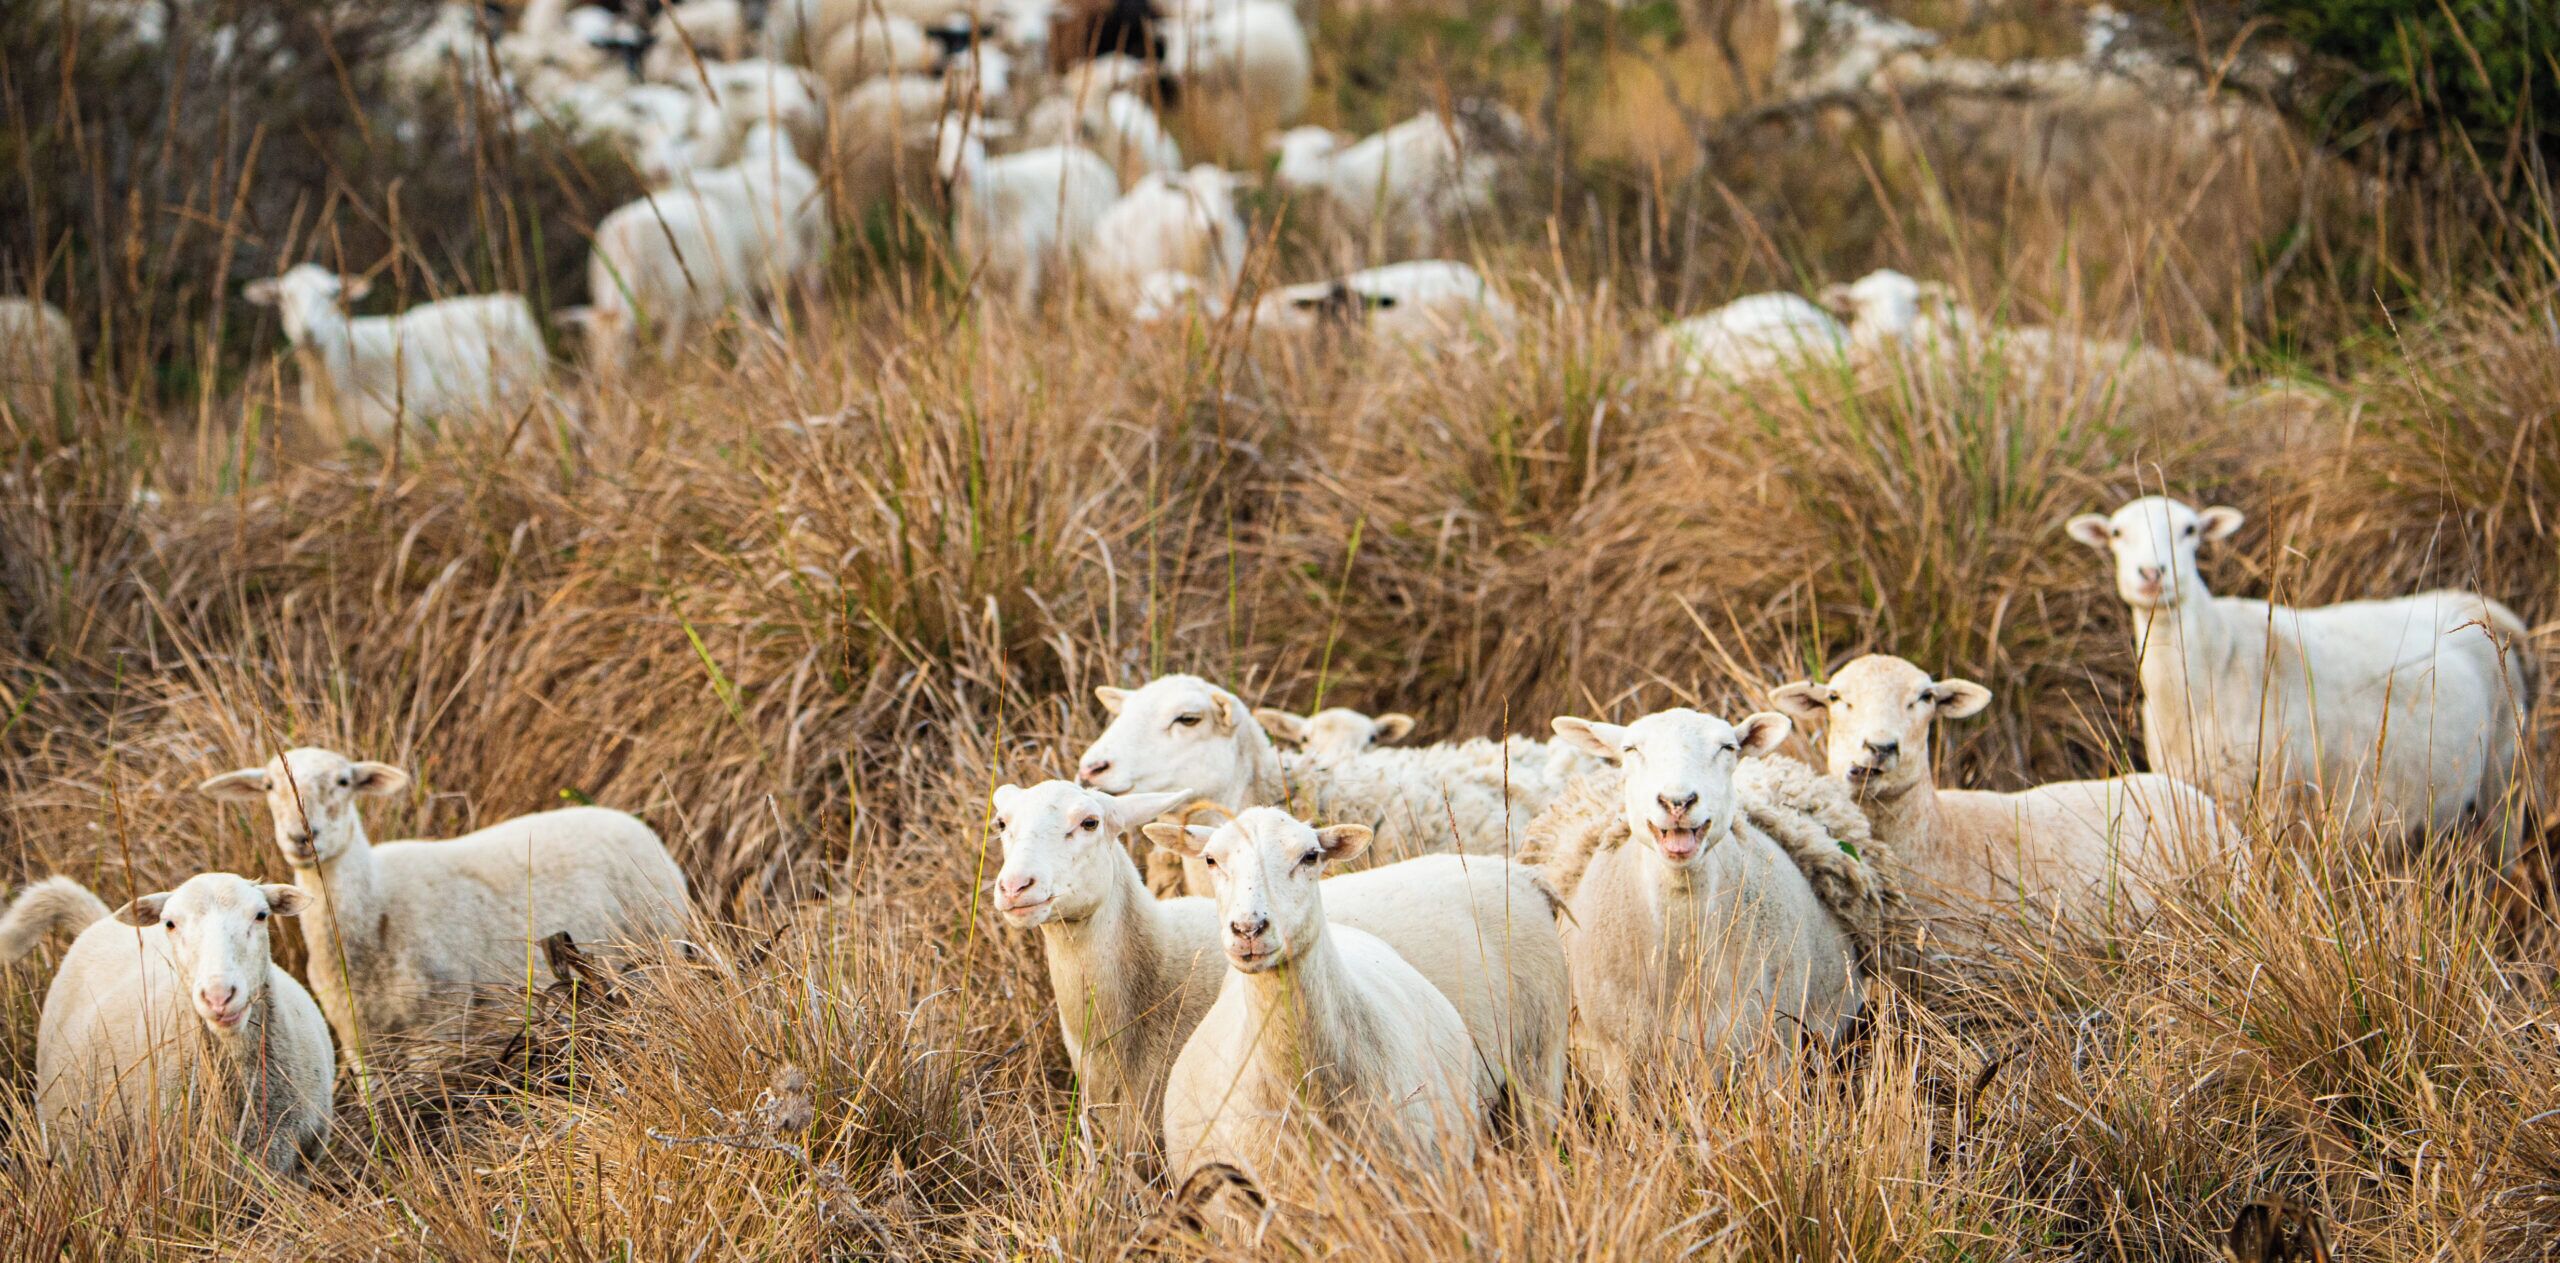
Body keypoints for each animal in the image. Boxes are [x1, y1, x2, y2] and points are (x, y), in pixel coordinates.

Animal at [198, 748, 692, 1074]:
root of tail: (636, 825)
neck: (376, 911)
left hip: (655, 948)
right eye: (268, 786)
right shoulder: (360, 1042)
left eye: (344, 782)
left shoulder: (438, 1028)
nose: (302, 837)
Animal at [937, 119, 1121, 312]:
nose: (962, 171)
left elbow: (1021, 310)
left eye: (975, 137)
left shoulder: (1027, 267)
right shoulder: (979, 273)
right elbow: (988, 311)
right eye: (942, 142)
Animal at [2067, 496, 2538, 863]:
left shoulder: (2272, 797)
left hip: (2505, 766)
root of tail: (2480, 608)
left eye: (2190, 530)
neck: (2215, 658)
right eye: (2116, 533)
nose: (2152, 574)